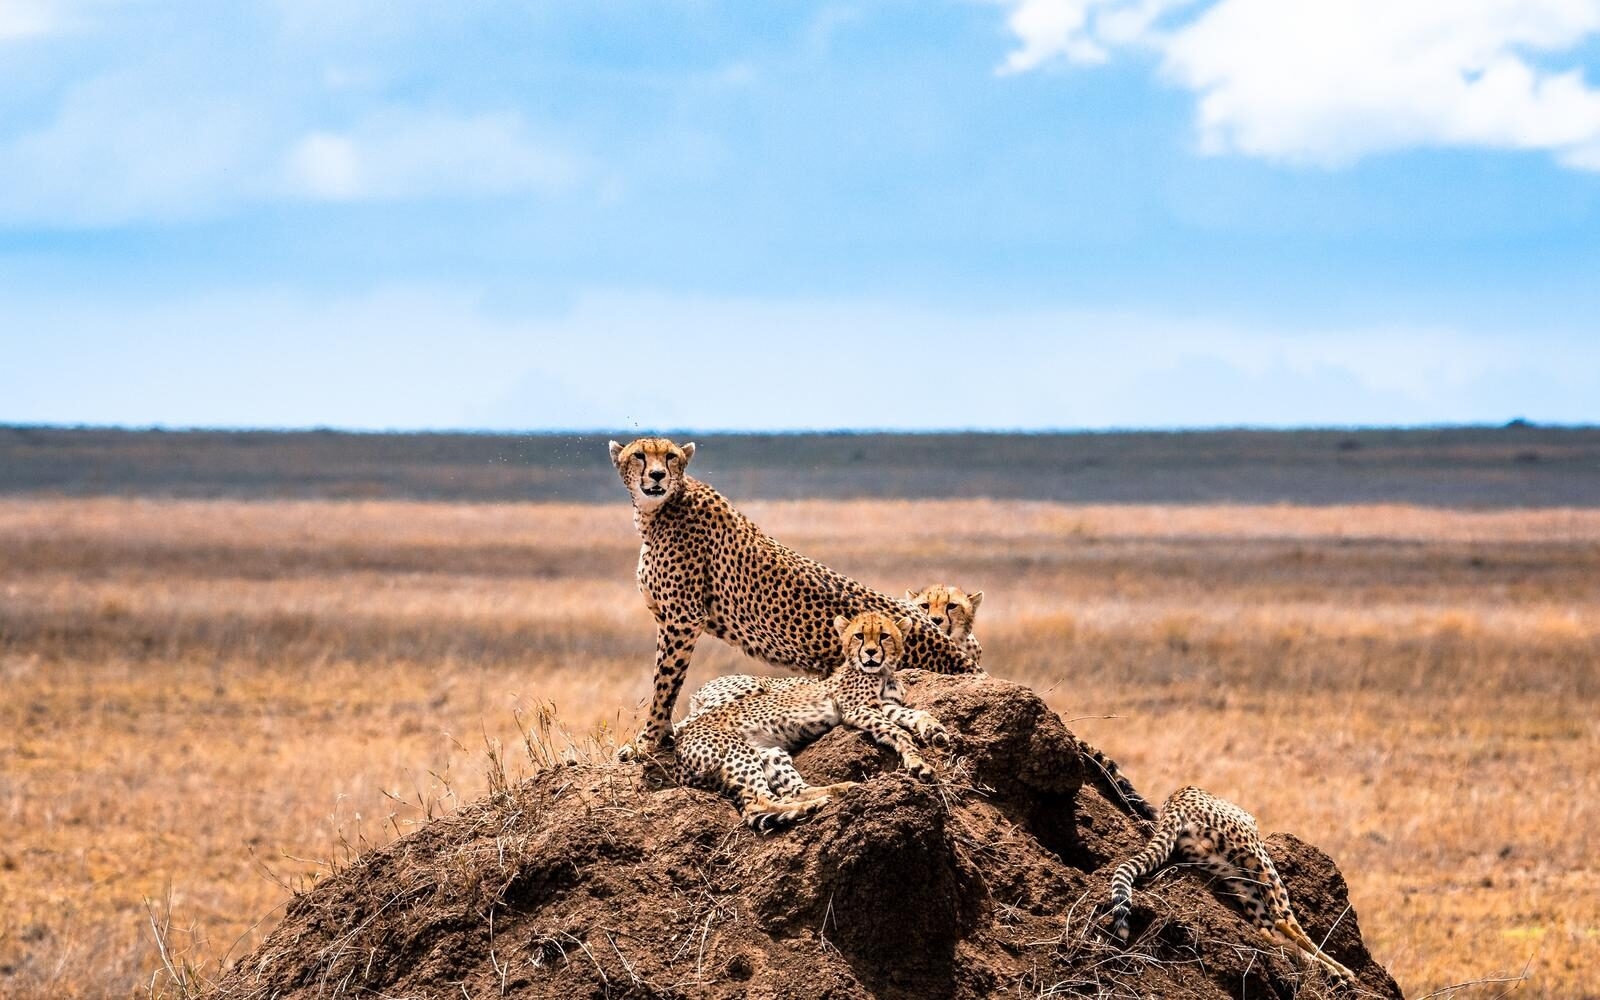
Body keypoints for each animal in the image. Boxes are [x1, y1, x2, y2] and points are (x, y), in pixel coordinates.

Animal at [609, 437, 978, 756]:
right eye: (639, 455)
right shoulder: (672, 617)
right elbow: (667, 683)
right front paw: (659, 736)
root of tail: (966, 662)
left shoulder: (683, 619)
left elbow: (665, 682)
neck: (657, 511)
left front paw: (648, 742)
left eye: (670, 456)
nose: (658, 475)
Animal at [671, 611, 949, 831]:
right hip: (738, 752)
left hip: (770, 752)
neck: (880, 672)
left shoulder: (886, 706)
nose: (870, 653)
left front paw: (933, 733)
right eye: (859, 636)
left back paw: (836, 791)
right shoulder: (857, 709)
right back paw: (812, 806)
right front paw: (917, 762)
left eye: (884, 636)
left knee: (789, 792)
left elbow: (916, 715)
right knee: (757, 803)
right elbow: (896, 730)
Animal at [1107, 785, 1356, 985]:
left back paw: (1323, 968)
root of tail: (1174, 802)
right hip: (1257, 857)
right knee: (1283, 919)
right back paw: (1339, 970)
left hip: (1233, 876)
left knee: (1267, 929)